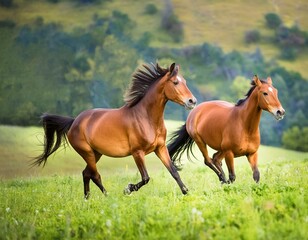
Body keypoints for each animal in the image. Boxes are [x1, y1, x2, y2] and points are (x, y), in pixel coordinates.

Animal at [34, 62, 197, 197]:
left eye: (185, 82)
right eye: (175, 82)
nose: (192, 101)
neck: (146, 117)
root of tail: (74, 121)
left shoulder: (160, 148)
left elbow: (174, 172)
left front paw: (186, 192)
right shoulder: (137, 152)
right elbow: (145, 178)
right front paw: (128, 189)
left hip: (96, 153)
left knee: (86, 173)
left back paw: (87, 198)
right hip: (87, 153)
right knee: (95, 175)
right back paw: (107, 196)